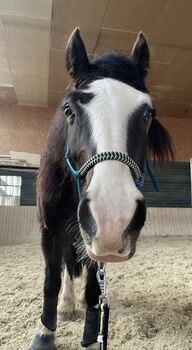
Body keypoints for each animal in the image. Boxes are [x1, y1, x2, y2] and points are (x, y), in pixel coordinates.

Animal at [28, 28, 174, 350]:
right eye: (68, 110)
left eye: (148, 113)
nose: (112, 216)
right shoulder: (49, 229)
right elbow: (51, 280)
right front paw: (45, 334)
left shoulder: (97, 242)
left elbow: (95, 289)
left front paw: (92, 337)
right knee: (66, 267)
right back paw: (66, 305)